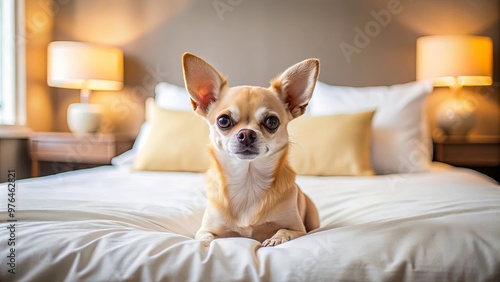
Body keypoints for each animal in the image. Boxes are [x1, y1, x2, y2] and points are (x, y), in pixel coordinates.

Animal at [184, 53, 320, 247]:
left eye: (272, 121)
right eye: (223, 120)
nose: (247, 133)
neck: (248, 182)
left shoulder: (298, 229)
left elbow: (284, 230)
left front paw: (275, 239)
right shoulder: (205, 230)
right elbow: (206, 237)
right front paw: (206, 243)